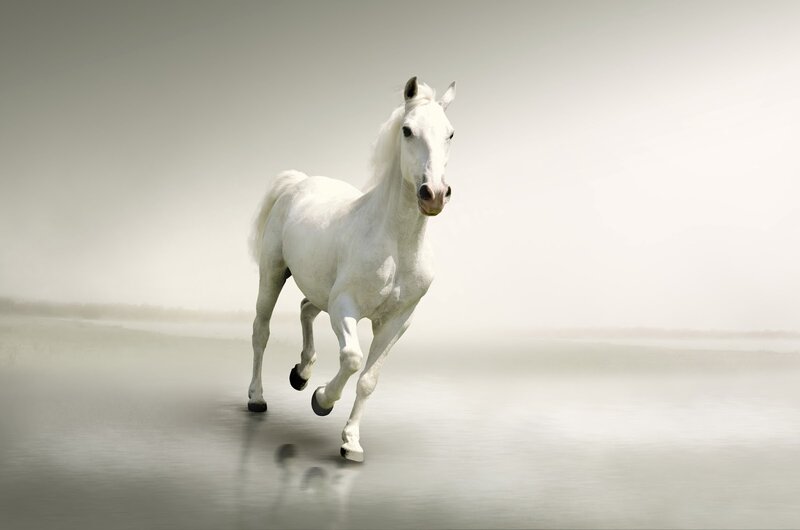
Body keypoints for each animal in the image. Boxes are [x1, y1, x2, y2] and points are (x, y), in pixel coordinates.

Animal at [247, 76, 457, 462]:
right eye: (407, 130)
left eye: (450, 133)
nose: (434, 194)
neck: (395, 245)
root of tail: (299, 182)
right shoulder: (345, 307)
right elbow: (353, 358)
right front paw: (321, 400)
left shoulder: (397, 321)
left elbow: (369, 379)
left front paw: (351, 443)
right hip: (272, 273)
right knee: (261, 331)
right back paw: (257, 397)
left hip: (319, 290)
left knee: (305, 308)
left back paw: (301, 373)